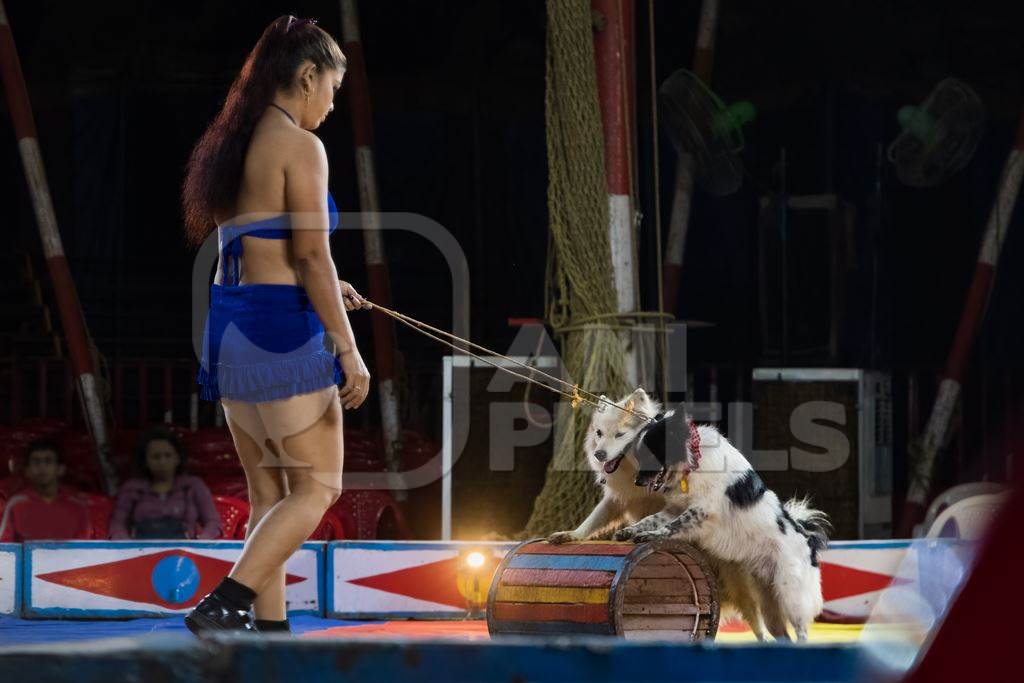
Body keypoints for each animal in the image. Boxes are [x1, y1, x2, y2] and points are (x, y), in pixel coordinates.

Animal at [614, 393, 831, 643]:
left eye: (650, 455)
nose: (637, 482)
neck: (693, 461)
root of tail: (809, 541)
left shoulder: (701, 510)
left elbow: (673, 526)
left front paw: (651, 536)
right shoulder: (675, 509)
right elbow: (652, 519)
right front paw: (632, 531)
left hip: (790, 597)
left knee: (801, 632)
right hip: (769, 606)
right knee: (782, 635)